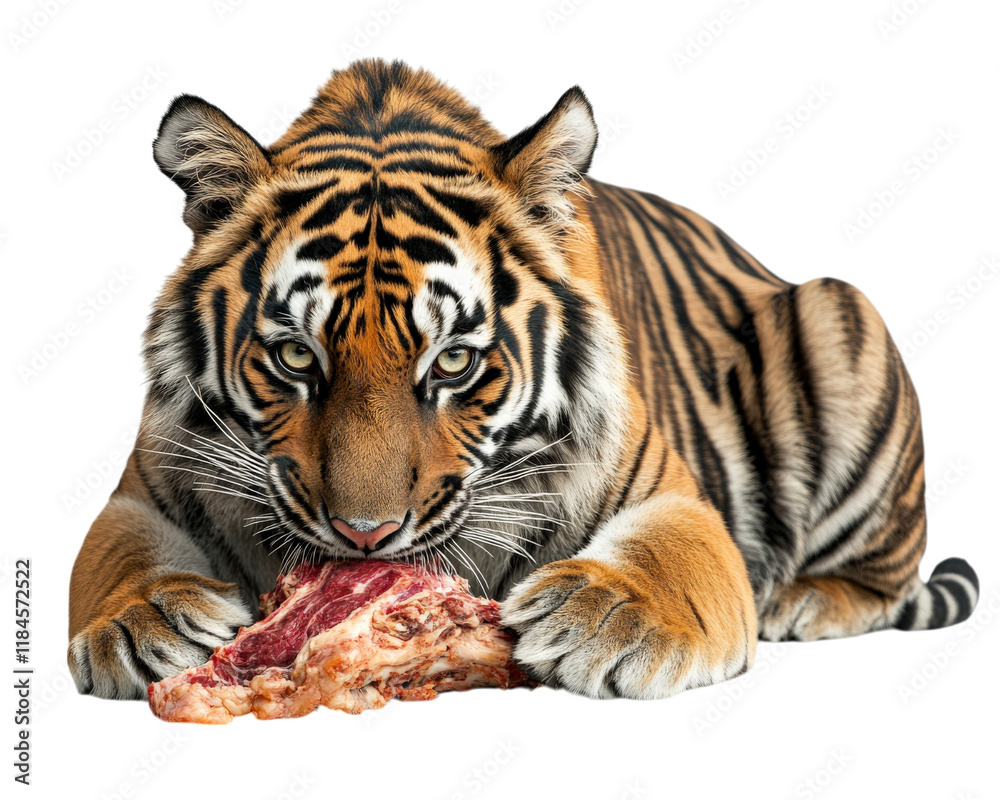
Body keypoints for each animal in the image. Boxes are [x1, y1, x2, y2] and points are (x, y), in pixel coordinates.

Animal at [68, 59, 979, 701]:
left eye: (454, 362)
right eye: (296, 357)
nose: (364, 538)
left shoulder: (675, 498)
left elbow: (670, 556)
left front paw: (605, 615)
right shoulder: (140, 491)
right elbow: (116, 560)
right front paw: (143, 622)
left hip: (839, 310)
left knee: (884, 573)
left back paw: (806, 602)